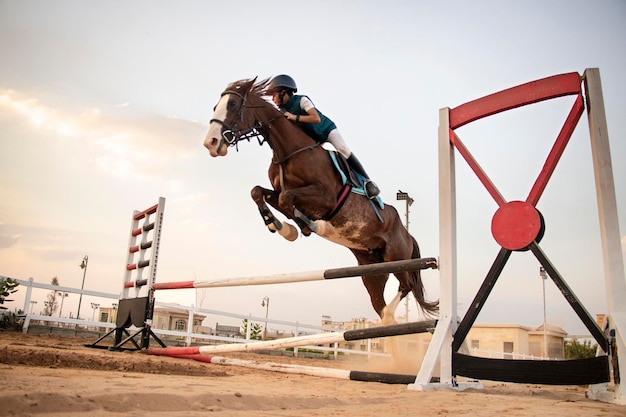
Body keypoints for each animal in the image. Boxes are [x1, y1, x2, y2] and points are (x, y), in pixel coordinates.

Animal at [202, 76, 436, 320]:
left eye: (232, 105)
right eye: (216, 107)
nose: (211, 142)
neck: (288, 151)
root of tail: (408, 234)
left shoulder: (325, 197)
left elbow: (287, 199)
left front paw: (310, 227)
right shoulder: (282, 193)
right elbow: (261, 193)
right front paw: (283, 227)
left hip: (396, 257)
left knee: (406, 285)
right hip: (372, 269)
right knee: (378, 300)